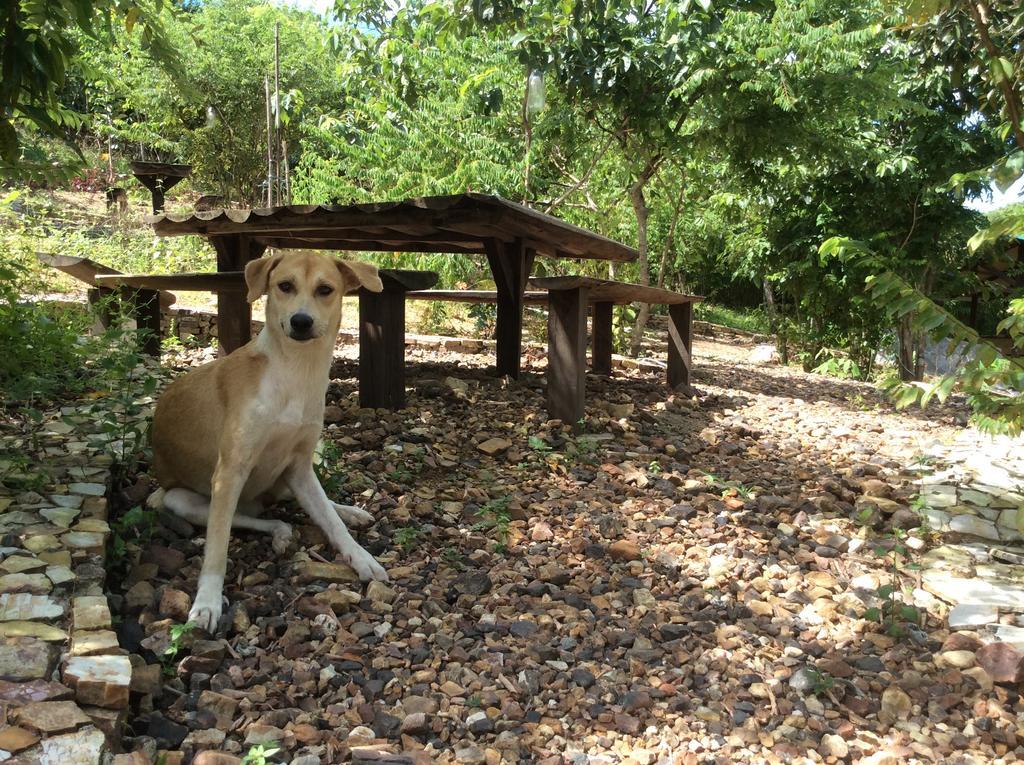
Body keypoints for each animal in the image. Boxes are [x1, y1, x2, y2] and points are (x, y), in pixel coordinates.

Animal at [150, 248, 387, 630]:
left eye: (325, 289)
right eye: (284, 286)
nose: (301, 321)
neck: (295, 372)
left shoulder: (301, 465)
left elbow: (330, 521)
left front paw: (360, 555)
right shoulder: (230, 472)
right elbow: (217, 546)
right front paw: (207, 603)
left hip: (287, 477)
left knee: (315, 505)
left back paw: (349, 511)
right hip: (180, 499)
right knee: (249, 519)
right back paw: (280, 530)